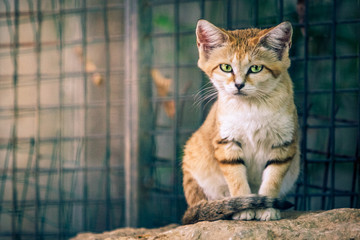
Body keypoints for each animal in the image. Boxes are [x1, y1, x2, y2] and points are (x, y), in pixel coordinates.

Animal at [181, 19, 300, 224]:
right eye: (226, 67)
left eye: (256, 68)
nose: (238, 85)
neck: (250, 107)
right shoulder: (226, 143)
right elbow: (237, 179)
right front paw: (245, 209)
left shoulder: (283, 144)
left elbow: (272, 179)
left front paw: (267, 208)